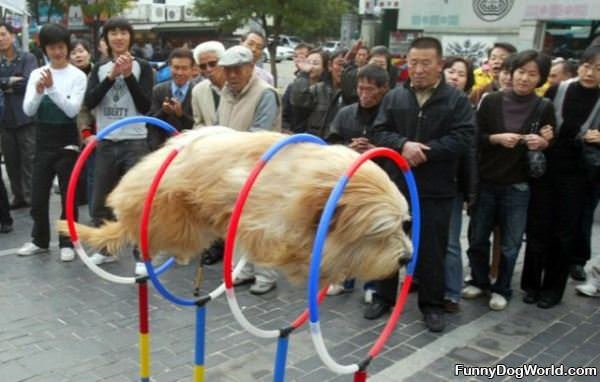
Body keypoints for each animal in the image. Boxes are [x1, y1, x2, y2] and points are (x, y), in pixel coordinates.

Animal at [58, 127, 412, 284]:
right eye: (380, 232)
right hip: (175, 217)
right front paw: (323, 266)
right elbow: (294, 250)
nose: (407, 257)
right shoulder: (267, 223)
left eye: (404, 224)